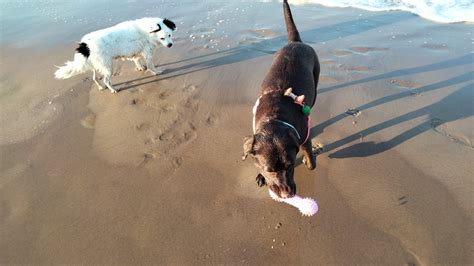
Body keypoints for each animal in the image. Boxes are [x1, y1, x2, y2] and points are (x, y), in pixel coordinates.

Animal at [243, 0, 320, 200]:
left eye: (290, 165)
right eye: (269, 170)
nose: (286, 195)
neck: (274, 118)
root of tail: (295, 42)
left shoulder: (304, 138)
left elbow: (311, 161)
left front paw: (309, 161)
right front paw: (260, 176)